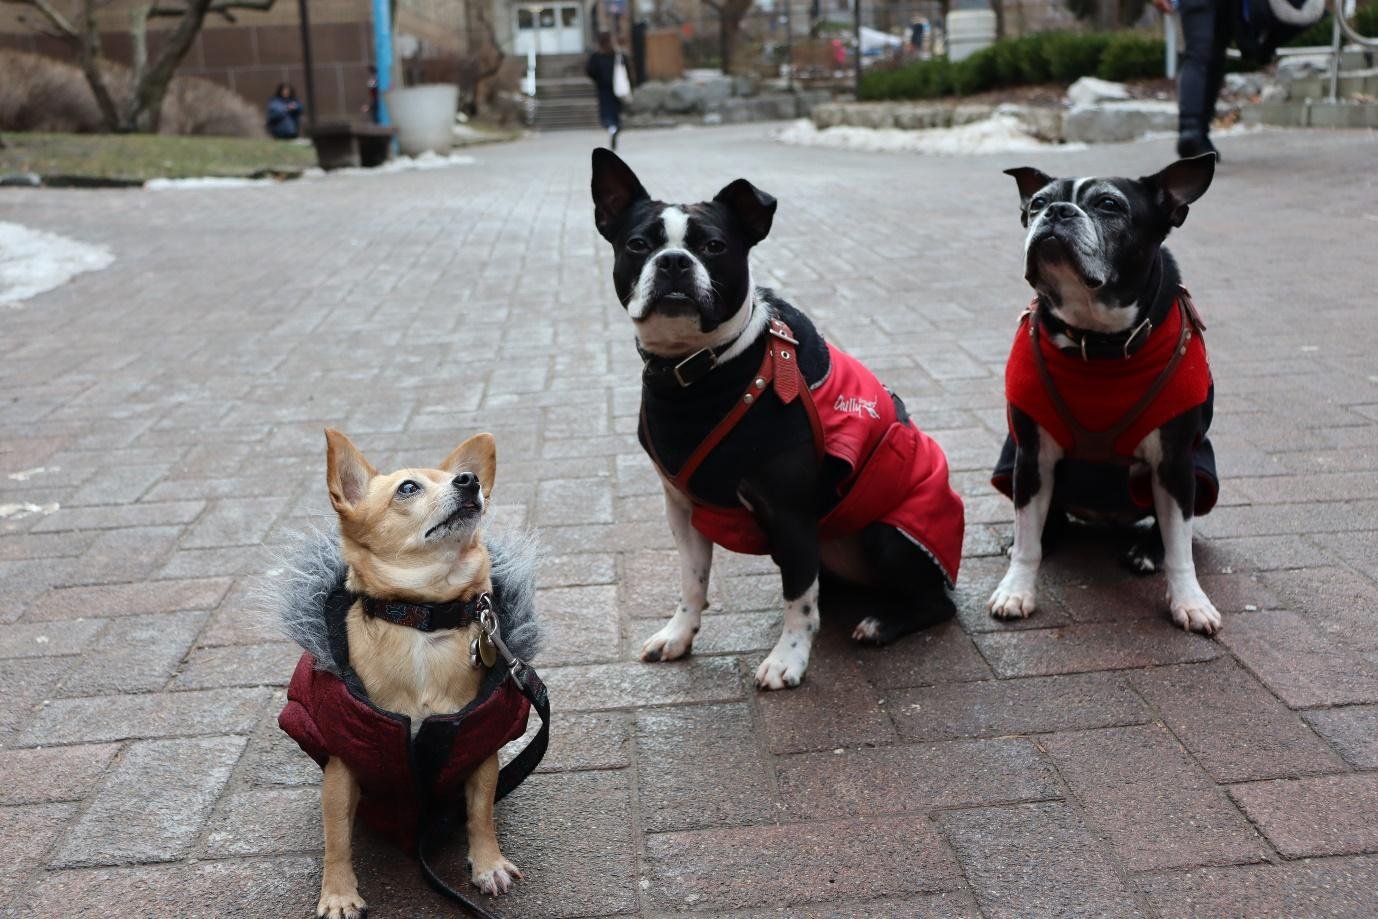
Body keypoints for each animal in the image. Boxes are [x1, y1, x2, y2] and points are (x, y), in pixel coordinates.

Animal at [310, 432, 518, 919]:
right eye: (408, 488)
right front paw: (338, 893)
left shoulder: (478, 747)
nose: (470, 479)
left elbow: (480, 814)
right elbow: (336, 836)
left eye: (463, 476)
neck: (422, 616)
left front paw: (487, 863)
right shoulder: (343, 764)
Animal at [592, 147, 970, 686]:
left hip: (888, 533)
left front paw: (788, 658)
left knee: (935, 602)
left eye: (714, 246)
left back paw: (881, 622)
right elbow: (692, 580)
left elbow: (799, 601)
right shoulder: (683, 509)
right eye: (638, 244)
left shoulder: (789, 514)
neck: (700, 370)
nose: (674, 261)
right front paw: (679, 635)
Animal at [986, 154, 1223, 636]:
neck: (1097, 340)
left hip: (1200, 469)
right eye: (1037, 203)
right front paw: (1016, 590)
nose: (1056, 213)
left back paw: (1147, 550)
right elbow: (1028, 538)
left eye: (1109, 205)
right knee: (1042, 518)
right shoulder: (1031, 453)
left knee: (1170, 529)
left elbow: (1181, 546)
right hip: (1010, 461)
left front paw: (1190, 601)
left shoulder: (1175, 460)